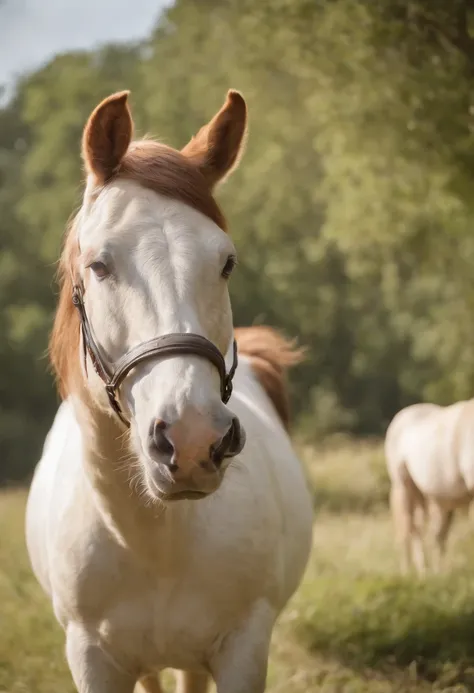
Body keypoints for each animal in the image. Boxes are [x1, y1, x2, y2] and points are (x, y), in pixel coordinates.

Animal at [25, 90, 314, 692]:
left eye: (226, 262)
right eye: (99, 265)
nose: (193, 440)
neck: (156, 542)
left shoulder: (242, 650)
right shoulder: (92, 659)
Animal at [386, 398, 474, 576]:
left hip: (432, 499)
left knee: (429, 534)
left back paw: (430, 573)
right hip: (404, 489)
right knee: (408, 531)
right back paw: (409, 574)